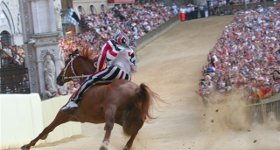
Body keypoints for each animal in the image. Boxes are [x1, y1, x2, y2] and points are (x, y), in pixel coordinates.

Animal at [21, 51, 159, 150]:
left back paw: (104, 145)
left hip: (111, 108)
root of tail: (136, 89)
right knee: (137, 125)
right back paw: (126, 146)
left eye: (66, 62)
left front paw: (28, 145)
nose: (58, 78)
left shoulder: (64, 114)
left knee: (110, 125)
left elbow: (48, 128)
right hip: (130, 113)